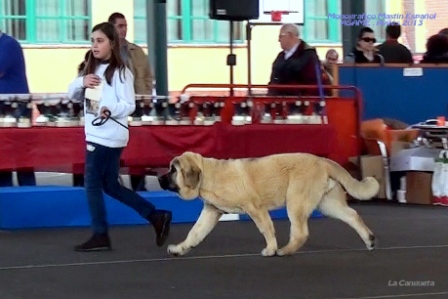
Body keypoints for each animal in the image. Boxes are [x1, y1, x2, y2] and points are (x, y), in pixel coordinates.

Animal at [159, 152, 380, 258]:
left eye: (172, 170)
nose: (159, 178)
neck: (208, 174)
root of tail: (322, 161)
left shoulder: (255, 208)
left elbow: (266, 229)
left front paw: (271, 249)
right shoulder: (211, 212)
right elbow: (195, 233)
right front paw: (179, 249)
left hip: (296, 202)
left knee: (300, 233)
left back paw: (285, 250)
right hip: (328, 204)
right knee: (352, 215)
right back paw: (369, 240)